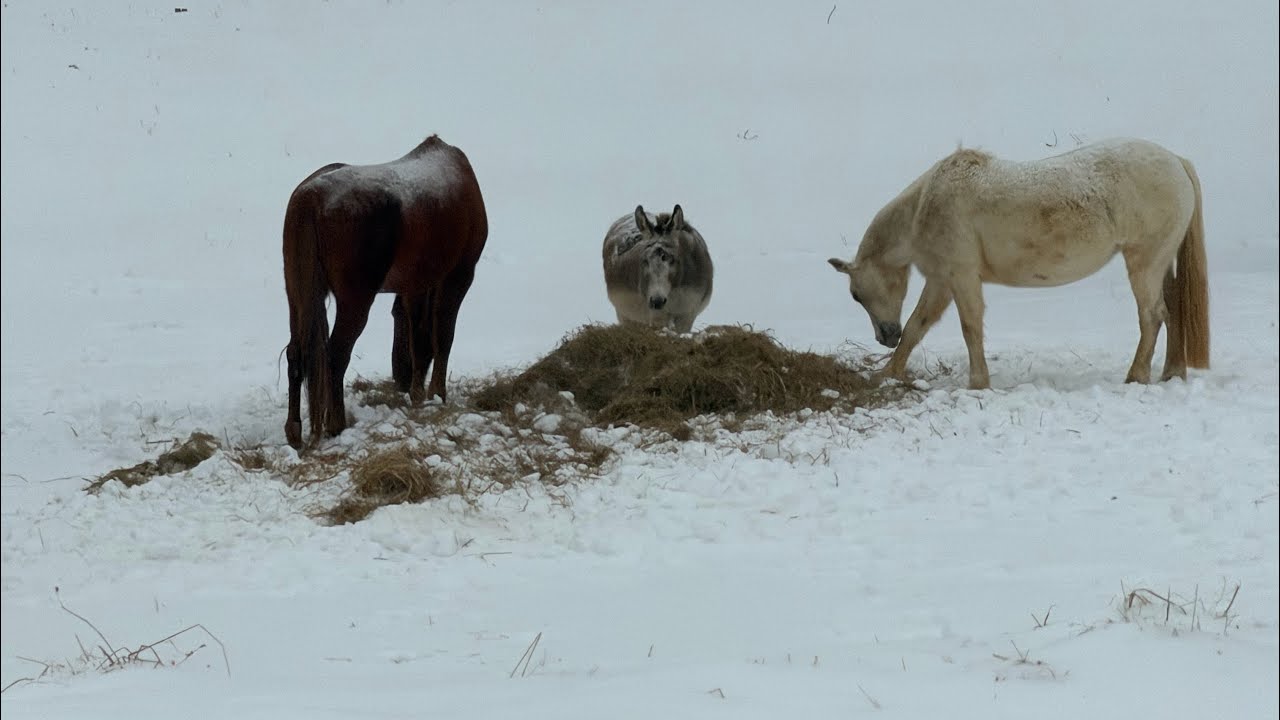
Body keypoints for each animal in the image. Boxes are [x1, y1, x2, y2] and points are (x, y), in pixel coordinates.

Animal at [282, 134, 488, 450]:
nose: (400, 379)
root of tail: (310, 198)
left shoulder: (416, 283)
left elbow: (419, 335)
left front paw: (418, 392)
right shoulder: (458, 275)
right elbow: (441, 334)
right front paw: (436, 394)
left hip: (297, 296)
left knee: (296, 353)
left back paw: (294, 429)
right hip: (355, 300)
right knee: (335, 355)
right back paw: (336, 423)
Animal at [602, 204, 714, 333]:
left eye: (673, 259)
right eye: (644, 260)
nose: (657, 302)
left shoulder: (687, 314)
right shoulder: (657, 315)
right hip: (625, 314)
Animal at [828, 137, 1208, 390]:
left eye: (856, 295)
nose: (884, 337)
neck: (926, 206)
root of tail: (1176, 161)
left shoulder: (960, 276)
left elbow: (970, 327)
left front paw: (978, 383)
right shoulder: (941, 280)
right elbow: (917, 327)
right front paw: (888, 373)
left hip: (1145, 262)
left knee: (1152, 316)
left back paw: (1136, 376)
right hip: (1161, 263)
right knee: (1172, 310)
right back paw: (1172, 372)